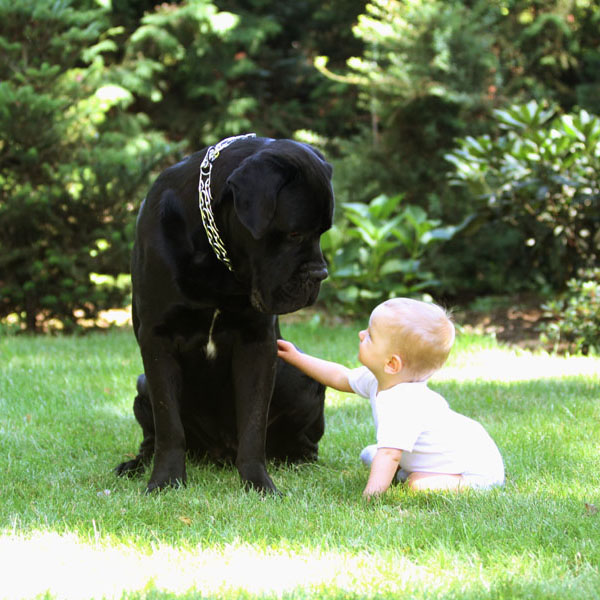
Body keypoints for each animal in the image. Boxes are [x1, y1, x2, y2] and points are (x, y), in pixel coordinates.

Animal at [115, 135, 336, 492]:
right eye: (294, 233)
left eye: (323, 232)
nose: (320, 274)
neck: (214, 255)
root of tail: (220, 451)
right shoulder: (157, 338)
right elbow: (168, 424)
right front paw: (165, 481)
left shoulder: (257, 340)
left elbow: (254, 422)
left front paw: (259, 483)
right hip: (142, 383)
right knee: (152, 436)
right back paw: (136, 465)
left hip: (301, 377)